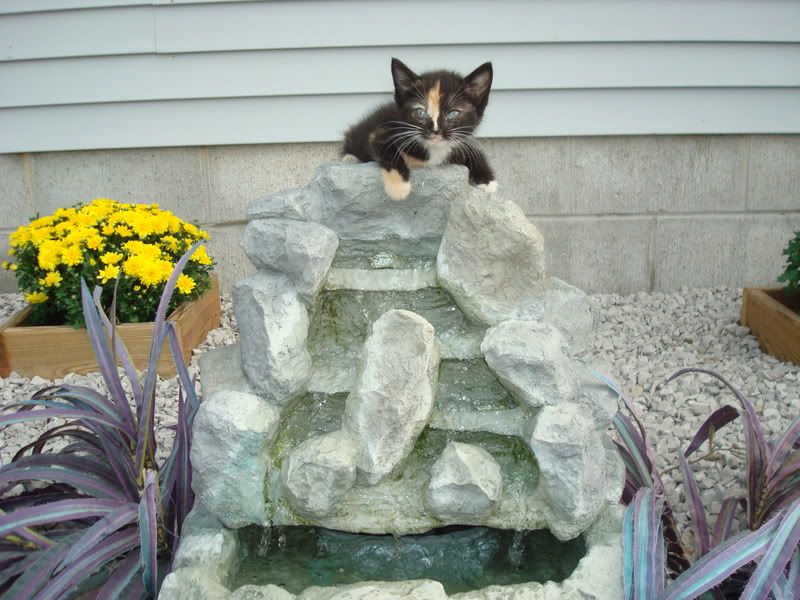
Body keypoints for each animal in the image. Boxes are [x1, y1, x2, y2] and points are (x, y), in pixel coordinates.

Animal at [342, 58, 496, 202]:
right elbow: (387, 148)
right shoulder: (380, 131)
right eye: (421, 113)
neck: (433, 150)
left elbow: (473, 150)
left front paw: (487, 180)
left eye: (452, 114)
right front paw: (399, 188)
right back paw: (350, 158)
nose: (435, 130)